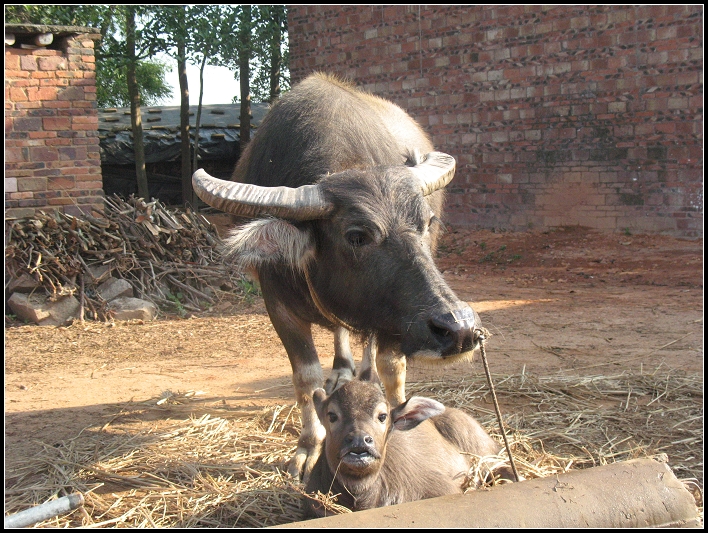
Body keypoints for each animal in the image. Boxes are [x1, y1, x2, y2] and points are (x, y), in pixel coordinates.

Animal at [192, 72, 483, 482]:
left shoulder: (395, 320)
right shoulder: (278, 306)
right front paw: (307, 447)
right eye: (357, 236)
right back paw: (343, 371)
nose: (460, 329)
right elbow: (306, 379)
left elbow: (392, 370)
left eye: (426, 223)